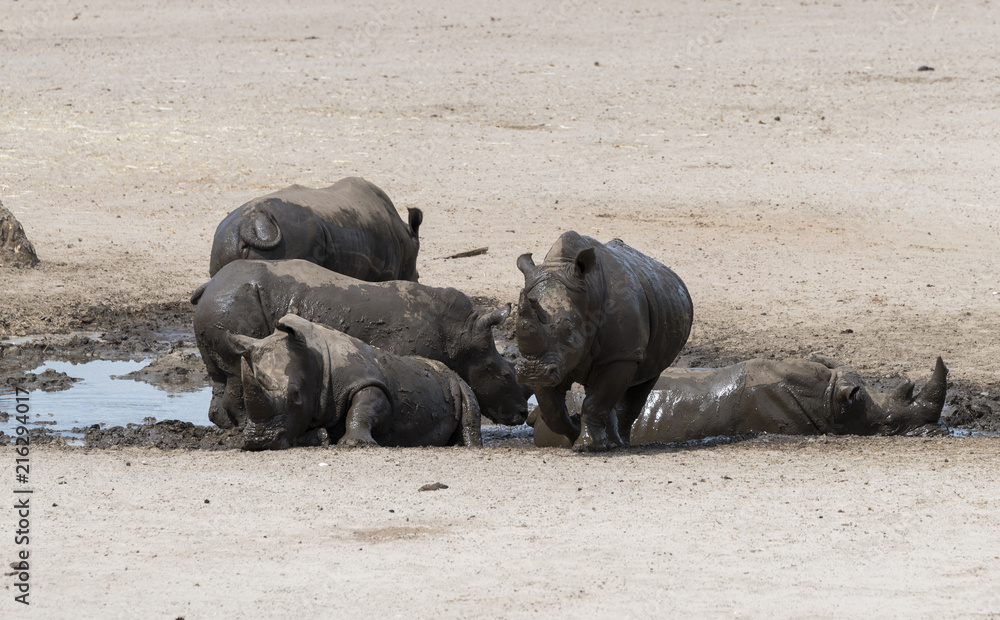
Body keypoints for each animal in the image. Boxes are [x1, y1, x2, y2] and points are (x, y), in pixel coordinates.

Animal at [191, 259, 528, 430]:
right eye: (504, 375)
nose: (522, 415)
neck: (463, 334)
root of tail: (210, 285)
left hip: (227, 302)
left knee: (222, 376)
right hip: (233, 303)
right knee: (236, 370)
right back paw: (242, 429)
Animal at [209, 177, 422, 281]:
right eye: (417, 276)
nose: (417, 279)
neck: (406, 239)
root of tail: (248, 224)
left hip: (225, 240)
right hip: (293, 239)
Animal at [230, 315, 482, 450]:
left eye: (296, 395)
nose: (260, 440)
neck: (314, 356)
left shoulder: (368, 382)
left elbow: (364, 406)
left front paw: (353, 443)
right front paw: (322, 437)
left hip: (456, 379)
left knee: (470, 405)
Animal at [515, 231, 693, 452]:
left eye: (569, 331)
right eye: (516, 328)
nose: (532, 371)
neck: (588, 293)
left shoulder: (621, 354)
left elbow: (595, 403)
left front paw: (587, 446)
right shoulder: (547, 360)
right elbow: (552, 409)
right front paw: (574, 430)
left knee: (642, 383)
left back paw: (620, 444)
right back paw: (611, 442)